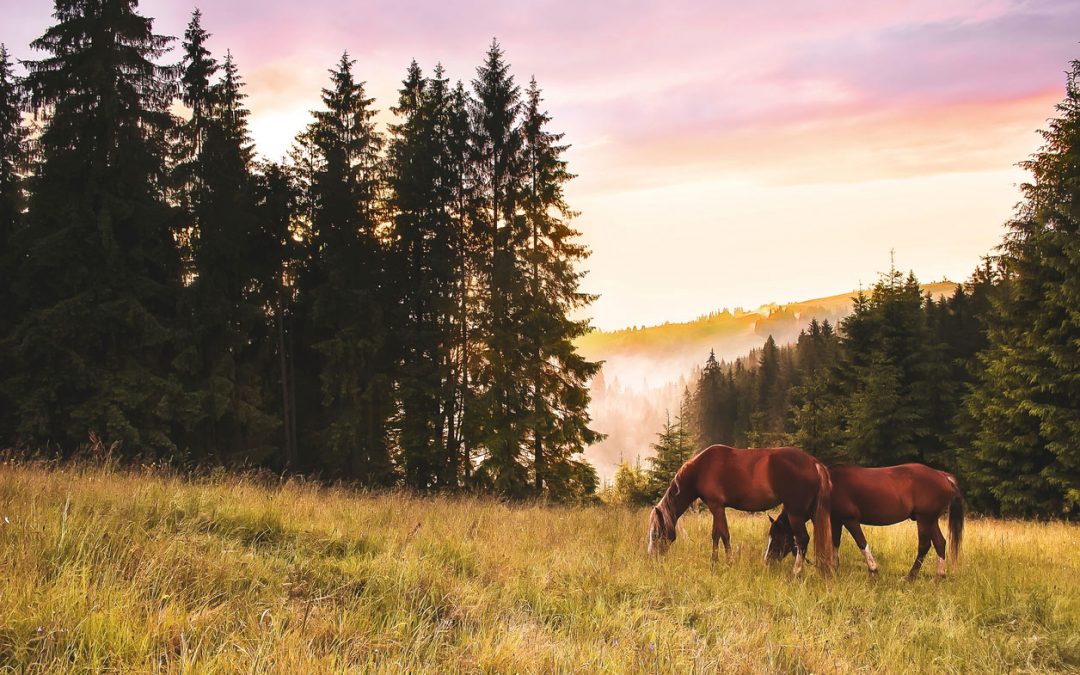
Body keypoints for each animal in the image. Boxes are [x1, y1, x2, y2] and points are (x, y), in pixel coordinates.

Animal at [643, 442, 829, 574]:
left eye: (655, 533)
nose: (651, 558)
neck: (700, 469)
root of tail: (814, 463)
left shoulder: (716, 506)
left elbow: (723, 535)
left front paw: (728, 563)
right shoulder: (717, 508)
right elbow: (716, 535)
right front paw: (714, 563)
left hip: (795, 512)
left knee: (802, 539)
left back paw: (796, 571)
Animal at [764, 462, 967, 578]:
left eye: (777, 537)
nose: (767, 562)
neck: (826, 487)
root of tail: (942, 475)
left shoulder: (850, 520)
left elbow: (861, 543)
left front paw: (873, 569)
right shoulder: (837, 521)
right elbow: (835, 543)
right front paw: (834, 568)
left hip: (925, 520)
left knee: (924, 545)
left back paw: (911, 576)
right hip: (930, 520)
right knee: (940, 543)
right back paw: (940, 575)